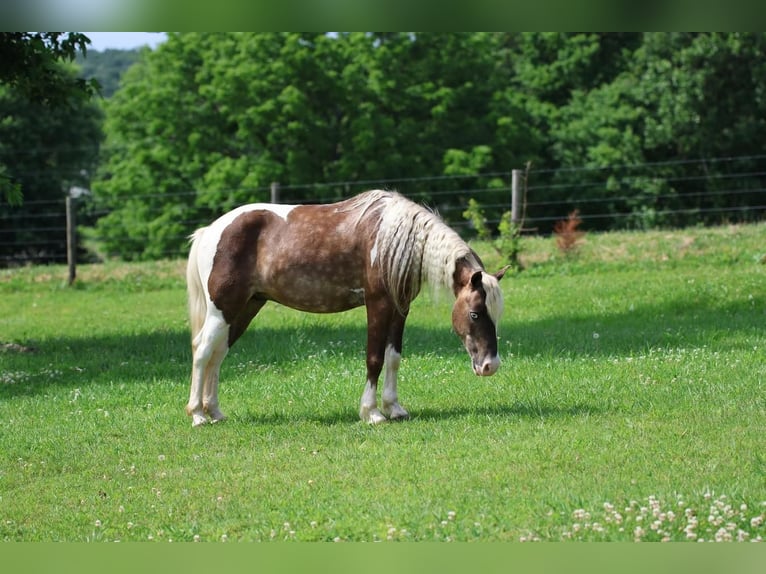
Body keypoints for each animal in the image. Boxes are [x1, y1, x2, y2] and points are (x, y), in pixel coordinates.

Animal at [186, 190, 510, 428]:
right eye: (475, 314)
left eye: (497, 316)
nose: (490, 366)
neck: (393, 239)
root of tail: (210, 230)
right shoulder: (378, 303)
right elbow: (374, 358)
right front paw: (372, 412)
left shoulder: (400, 307)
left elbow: (393, 358)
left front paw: (394, 408)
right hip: (222, 309)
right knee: (203, 350)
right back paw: (198, 415)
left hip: (244, 308)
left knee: (218, 353)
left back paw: (215, 412)